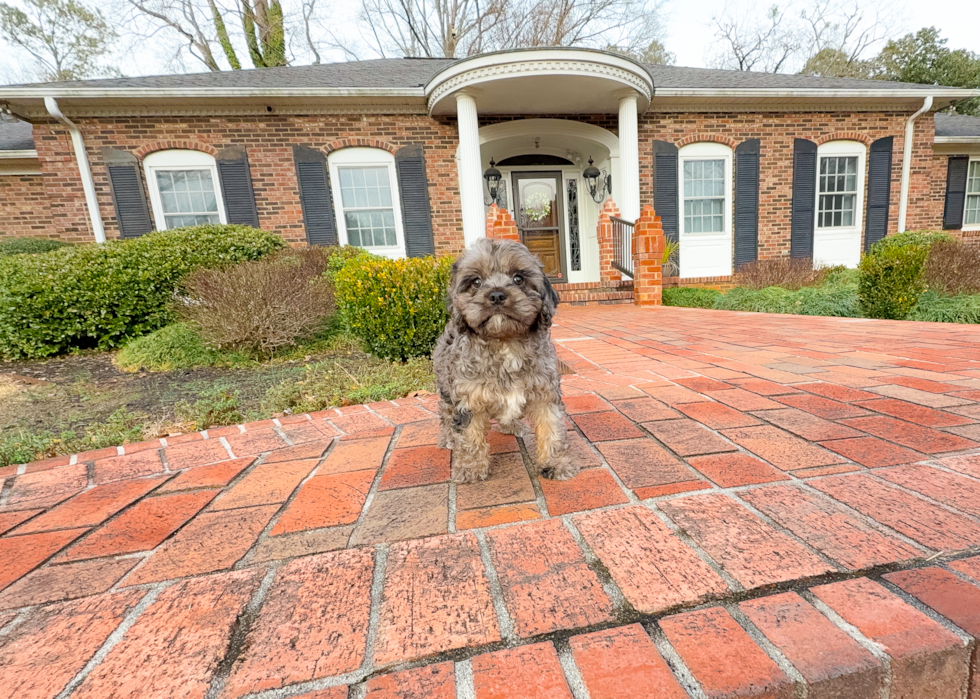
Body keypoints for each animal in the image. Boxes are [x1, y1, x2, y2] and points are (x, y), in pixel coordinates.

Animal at [434, 238, 576, 484]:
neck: (505, 343)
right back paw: (447, 437)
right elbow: (469, 436)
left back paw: (512, 424)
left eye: (518, 278)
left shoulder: (545, 392)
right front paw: (470, 467)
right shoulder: (467, 398)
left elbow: (552, 428)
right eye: (476, 281)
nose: (497, 295)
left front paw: (555, 463)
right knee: (445, 413)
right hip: (445, 384)